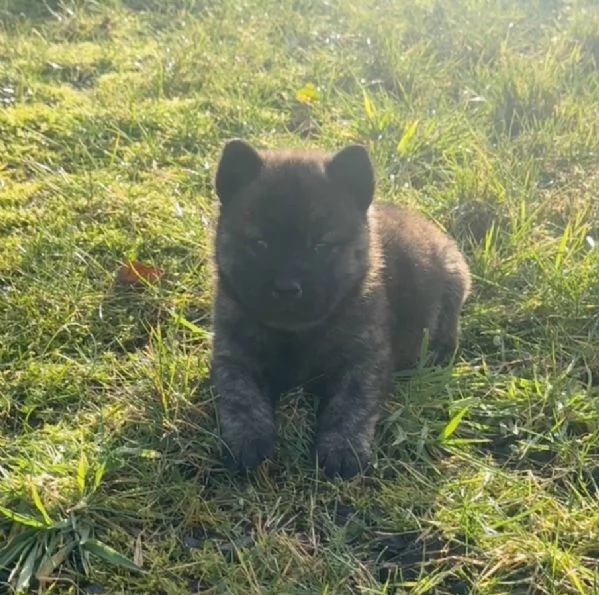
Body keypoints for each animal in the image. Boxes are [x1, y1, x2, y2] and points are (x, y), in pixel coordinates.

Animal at [213, 142, 472, 482]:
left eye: (321, 245)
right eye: (259, 243)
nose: (286, 287)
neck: (295, 334)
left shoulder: (365, 360)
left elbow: (351, 405)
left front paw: (342, 448)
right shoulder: (231, 355)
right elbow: (239, 394)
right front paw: (248, 437)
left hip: (453, 281)